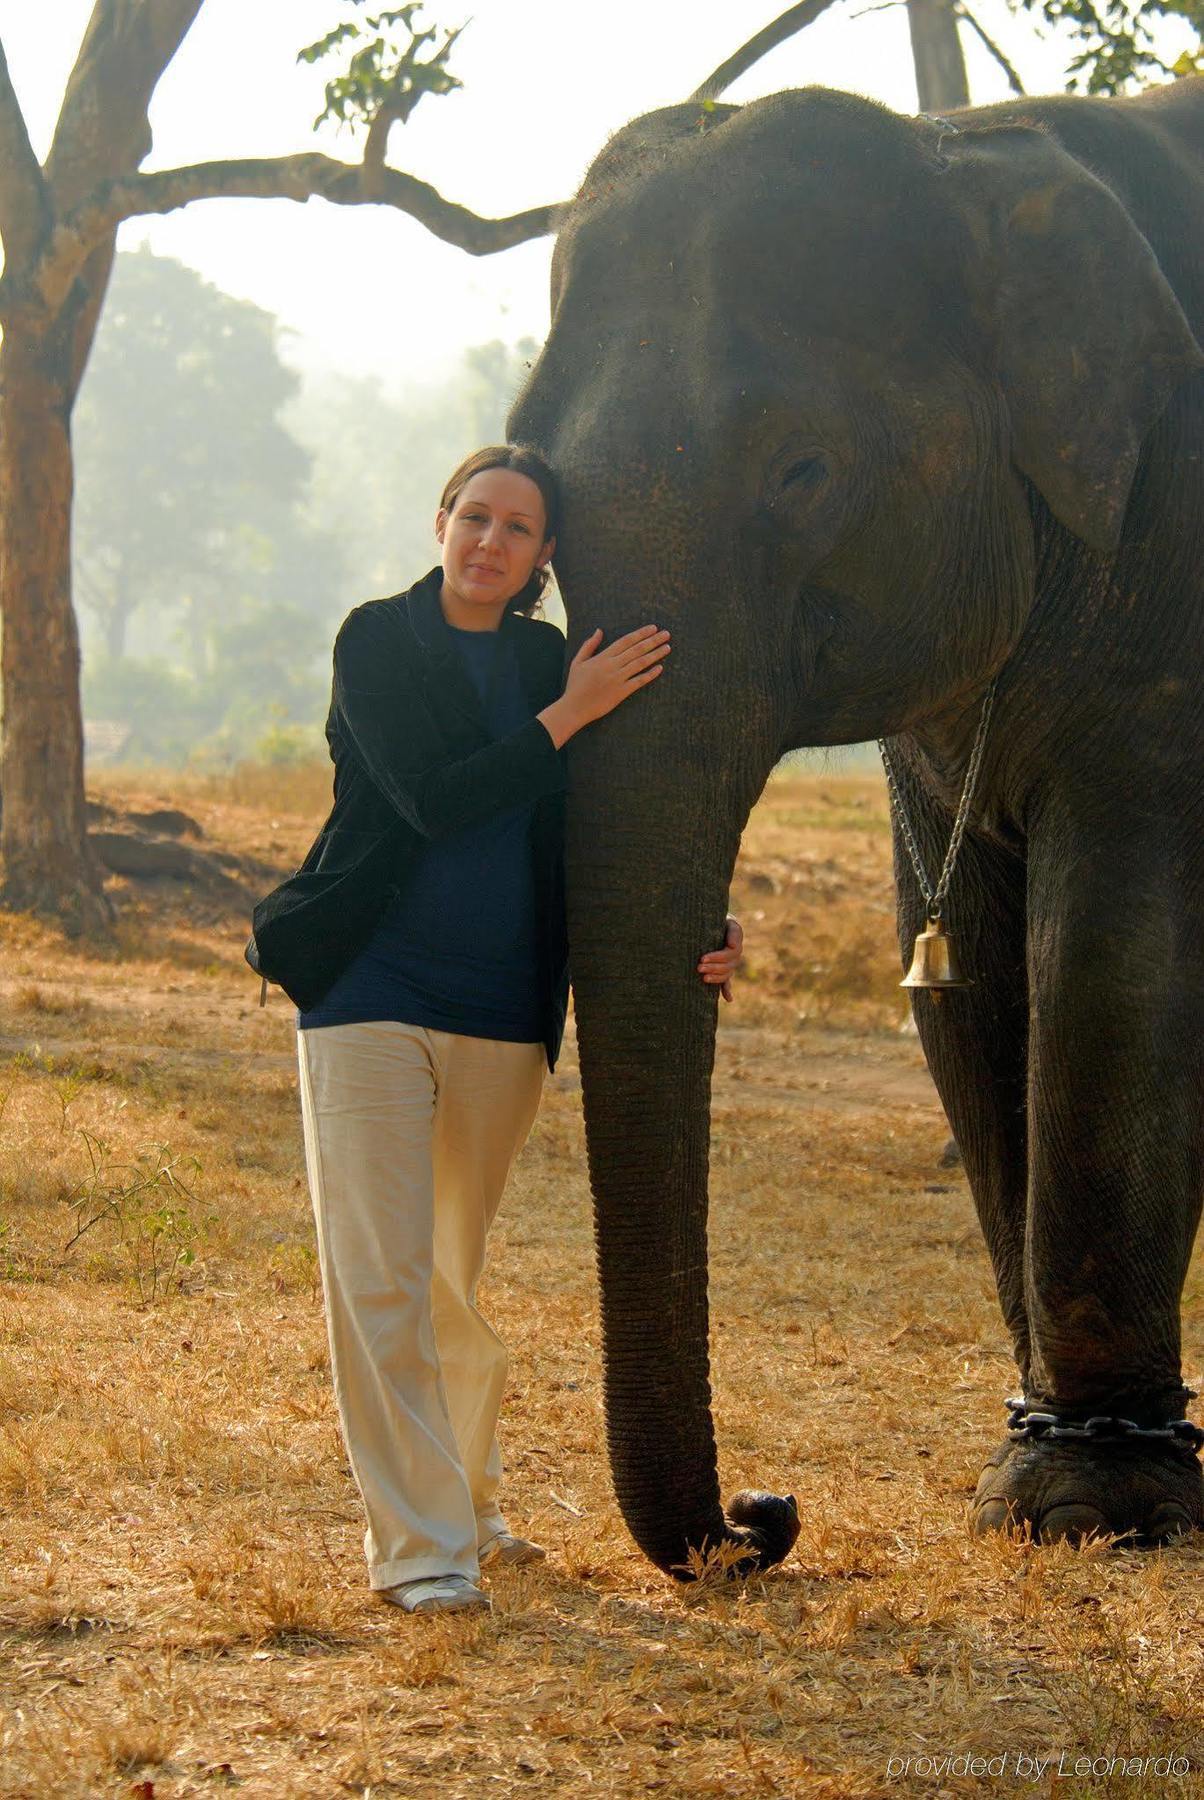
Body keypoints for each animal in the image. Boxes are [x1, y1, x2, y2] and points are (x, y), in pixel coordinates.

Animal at [511, 77, 1204, 1569]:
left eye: (803, 472)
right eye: (538, 488)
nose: (764, 1513)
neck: (978, 157)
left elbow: (1112, 965)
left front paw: (1088, 1507)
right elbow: (961, 977)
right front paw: (1046, 1464)